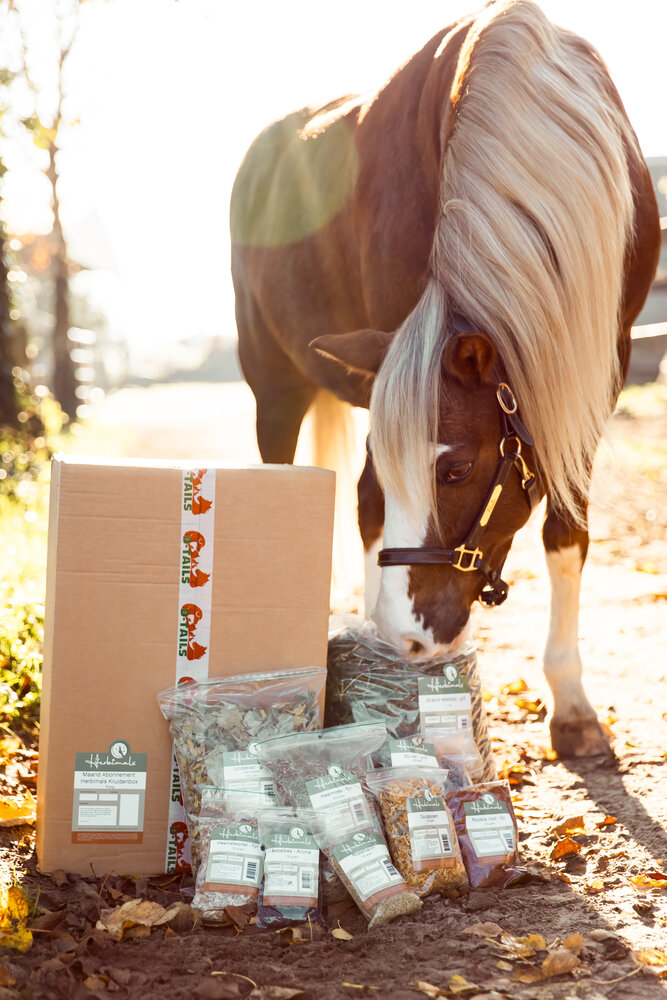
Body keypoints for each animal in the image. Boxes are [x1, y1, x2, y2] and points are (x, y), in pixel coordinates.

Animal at [230, 0, 660, 758]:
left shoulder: (587, 379)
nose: (407, 637)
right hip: (271, 386)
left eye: (457, 470)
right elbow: (371, 502)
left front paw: (573, 705)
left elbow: (567, 533)